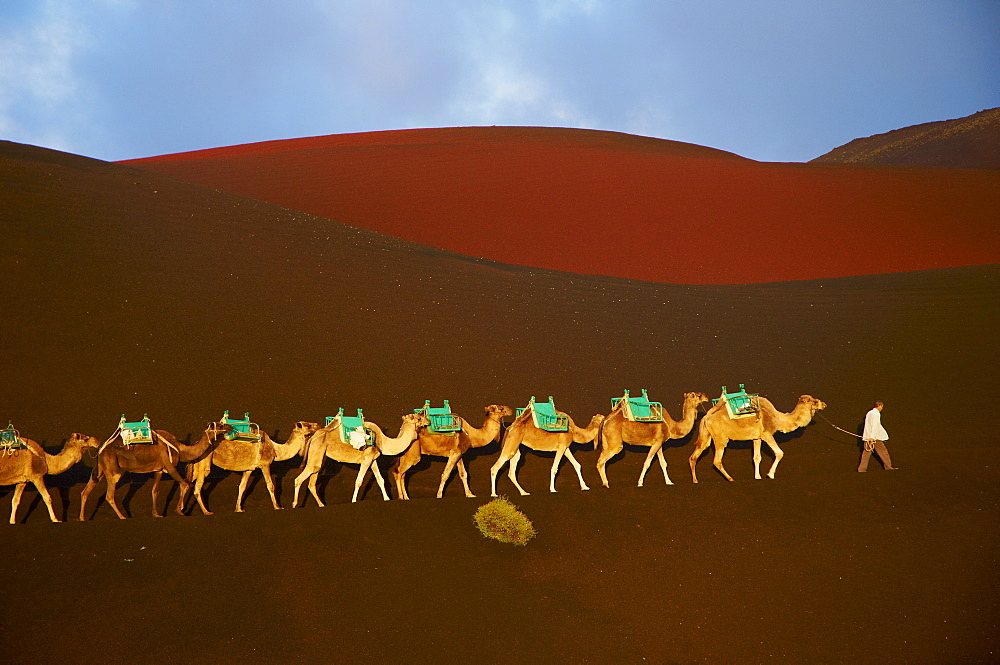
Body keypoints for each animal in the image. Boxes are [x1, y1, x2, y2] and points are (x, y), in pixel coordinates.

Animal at [79, 420, 231, 520]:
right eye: (220, 425)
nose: (230, 427)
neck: (180, 449)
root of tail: (100, 449)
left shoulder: (159, 469)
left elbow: (155, 490)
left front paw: (156, 514)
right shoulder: (169, 465)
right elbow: (184, 484)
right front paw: (180, 510)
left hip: (100, 469)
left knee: (86, 490)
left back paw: (82, 518)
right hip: (112, 468)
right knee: (110, 493)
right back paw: (122, 516)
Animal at [185, 418, 316, 516]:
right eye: (308, 425)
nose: (318, 425)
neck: (275, 448)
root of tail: (197, 443)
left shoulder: (249, 468)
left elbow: (242, 487)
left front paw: (239, 509)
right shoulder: (265, 464)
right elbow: (270, 485)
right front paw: (278, 507)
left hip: (196, 464)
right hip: (204, 460)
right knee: (197, 487)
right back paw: (206, 512)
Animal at [292, 410, 428, 504]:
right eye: (418, 417)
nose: (428, 421)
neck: (382, 441)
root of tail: (313, 436)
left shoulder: (373, 459)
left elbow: (380, 479)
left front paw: (387, 498)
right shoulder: (366, 459)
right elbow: (358, 481)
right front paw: (353, 501)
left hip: (318, 454)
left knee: (312, 481)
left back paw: (321, 505)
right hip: (316, 451)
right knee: (300, 478)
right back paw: (294, 504)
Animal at [688, 394, 828, 482]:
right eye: (814, 401)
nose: (824, 404)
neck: (777, 418)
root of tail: (706, 417)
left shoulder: (757, 437)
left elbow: (756, 457)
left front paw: (757, 477)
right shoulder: (767, 434)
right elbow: (779, 453)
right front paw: (770, 474)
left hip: (706, 436)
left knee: (694, 456)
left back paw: (695, 480)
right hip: (720, 438)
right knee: (717, 460)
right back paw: (730, 478)